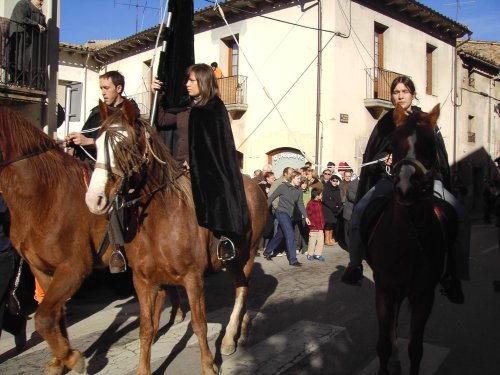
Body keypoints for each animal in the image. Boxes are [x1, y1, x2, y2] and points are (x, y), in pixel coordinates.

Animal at [85, 100, 270, 375]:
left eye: (124, 146)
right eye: (96, 145)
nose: (94, 199)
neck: (160, 221)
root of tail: (256, 185)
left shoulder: (193, 279)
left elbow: (200, 324)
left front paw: (209, 366)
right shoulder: (143, 281)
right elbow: (146, 328)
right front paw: (143, 369)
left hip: (246, 254)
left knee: (241, 290)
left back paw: (228, 338)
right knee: (243, 288)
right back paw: (242, 328)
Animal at [364, 104, 454, 375]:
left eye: (430, 143)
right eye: (393, 143)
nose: (405, 187)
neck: (408, 237)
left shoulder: (423, 295)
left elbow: (416, 348)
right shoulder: (384, 290)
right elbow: (383, 344)